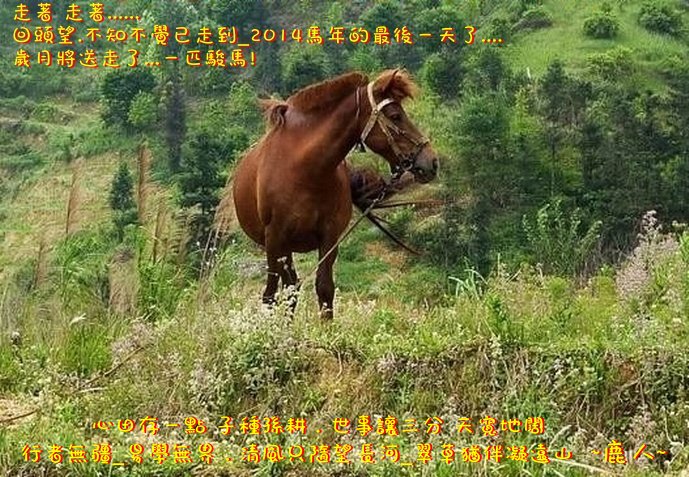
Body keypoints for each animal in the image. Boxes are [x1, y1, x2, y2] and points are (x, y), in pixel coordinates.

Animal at [232, 69, 439, 319]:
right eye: (395, 115)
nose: (431, 161)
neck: (305, 170)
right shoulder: (274, 238)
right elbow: (271, 296)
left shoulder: (329, 236)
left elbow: (324, 288)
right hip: (280, 248)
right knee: (280, 290)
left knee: (292, 288)